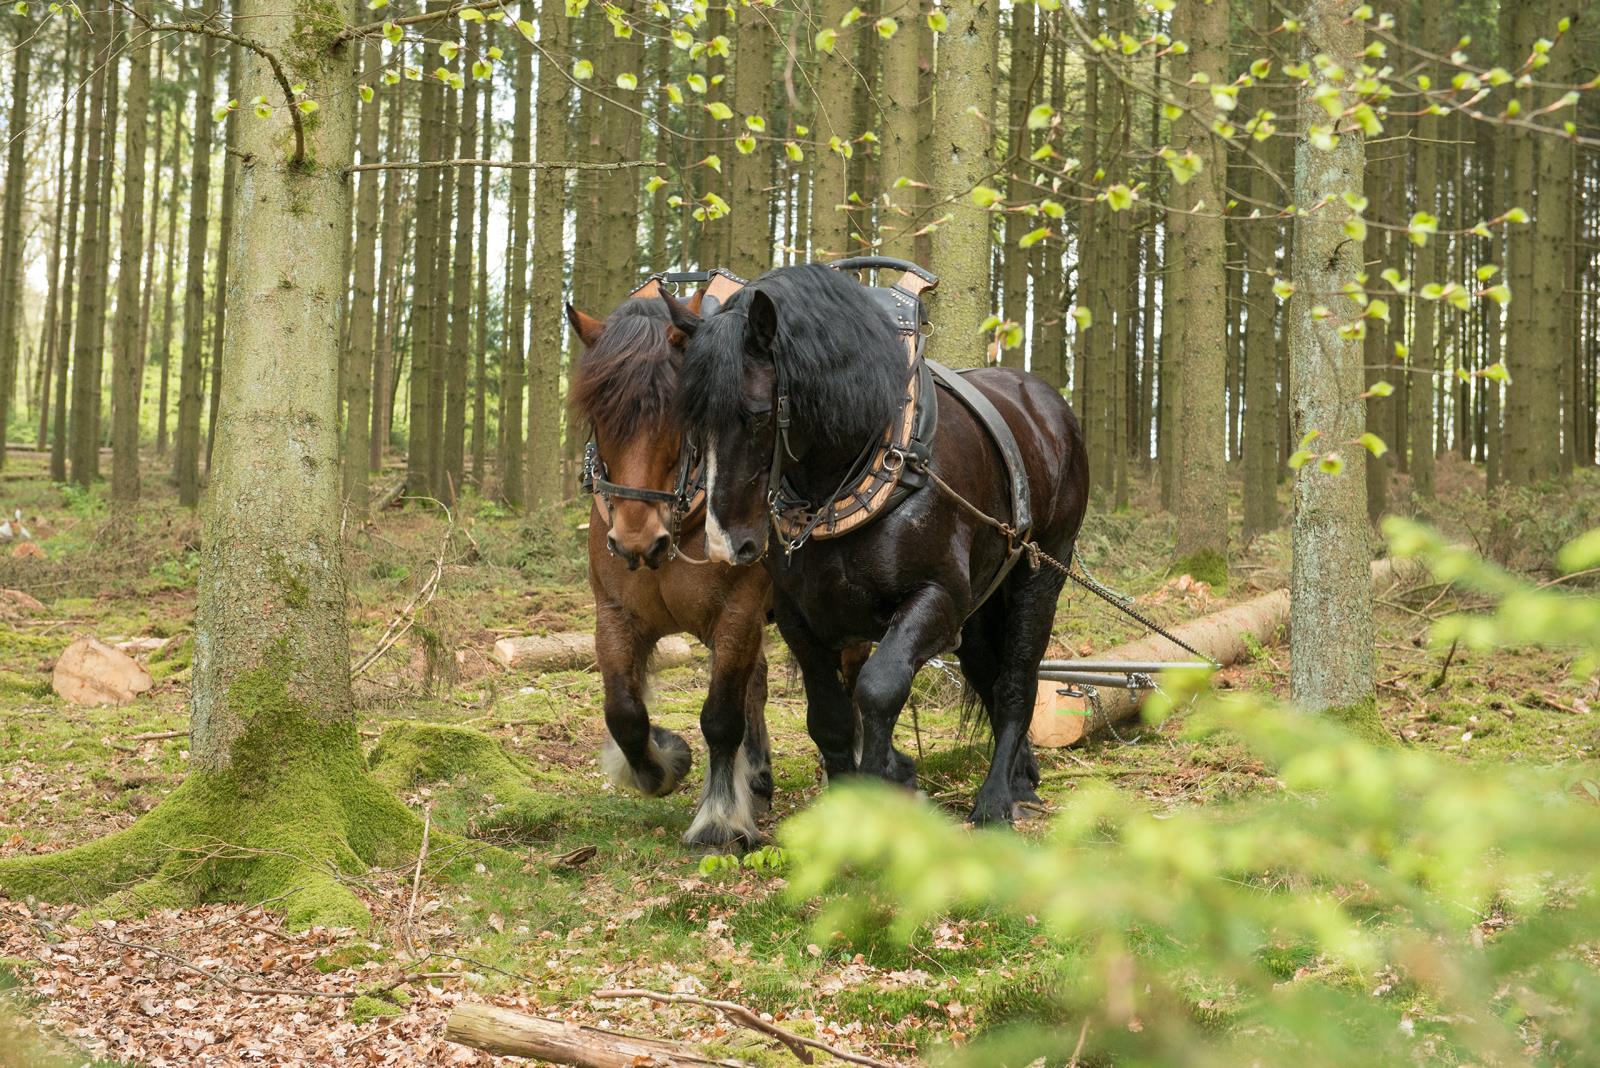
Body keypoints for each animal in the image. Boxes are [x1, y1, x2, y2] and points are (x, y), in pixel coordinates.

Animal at [569, 295, 774, 844]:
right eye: (599, 414)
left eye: (681, 410)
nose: (637, 542)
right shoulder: (613, 613)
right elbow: (624, 713)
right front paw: (664, 760)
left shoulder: (740, 611)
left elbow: (721, 716)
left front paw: (720, 818)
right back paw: (757, 774)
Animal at [662, 262, 1088, 824]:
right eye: (689, 421)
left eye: (756, 415)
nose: (726, 543)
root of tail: (1046, 404)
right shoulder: (801, 618)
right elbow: (829, 717)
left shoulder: (936, 598)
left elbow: (879, 688)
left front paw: (887, 782)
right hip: (980, 602)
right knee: (986, 673)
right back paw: (1022, 778)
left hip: (1039, 573)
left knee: (1016, 680)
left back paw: (997, 798)